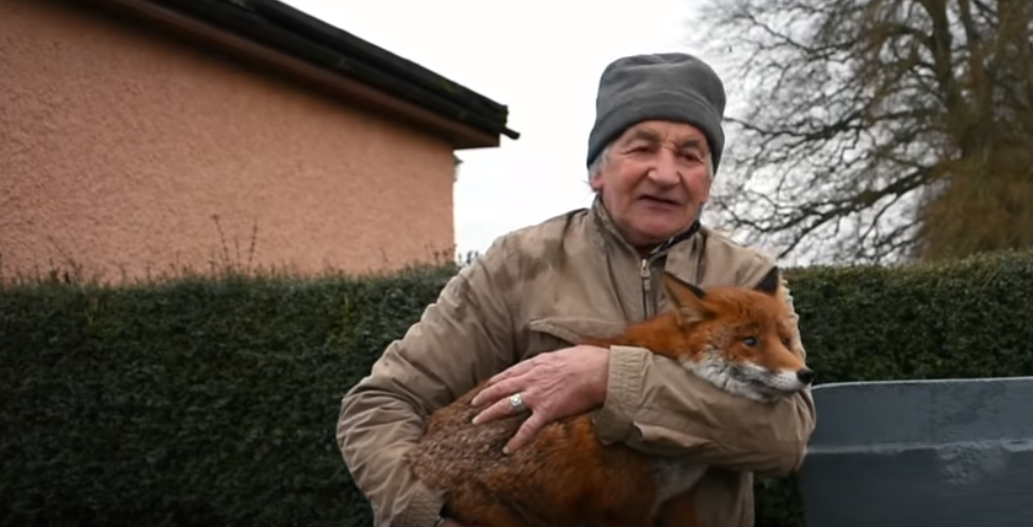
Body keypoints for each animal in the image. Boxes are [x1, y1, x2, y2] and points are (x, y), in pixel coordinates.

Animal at [404, 266, 813, 527]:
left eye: (786, 340)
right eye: (750, 341)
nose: (806, 375)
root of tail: (418, 458)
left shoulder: (675, 500)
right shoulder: (625, 507)